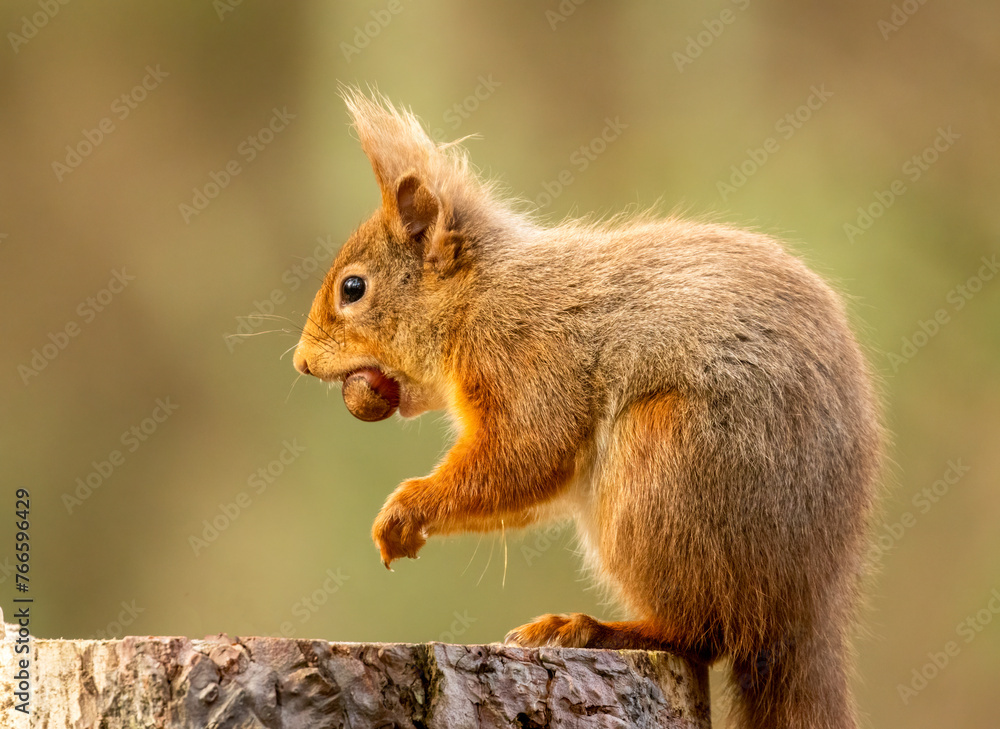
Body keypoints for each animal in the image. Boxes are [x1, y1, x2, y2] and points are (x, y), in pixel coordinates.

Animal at [293, 90, 882, 729]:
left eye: (353, 289)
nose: (300, 363)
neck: (476, 296)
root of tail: (805, 613)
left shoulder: (525, 353)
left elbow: (527, 452)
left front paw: (405, 509)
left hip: (662, 468)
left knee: (704, 632)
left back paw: (593, 628)